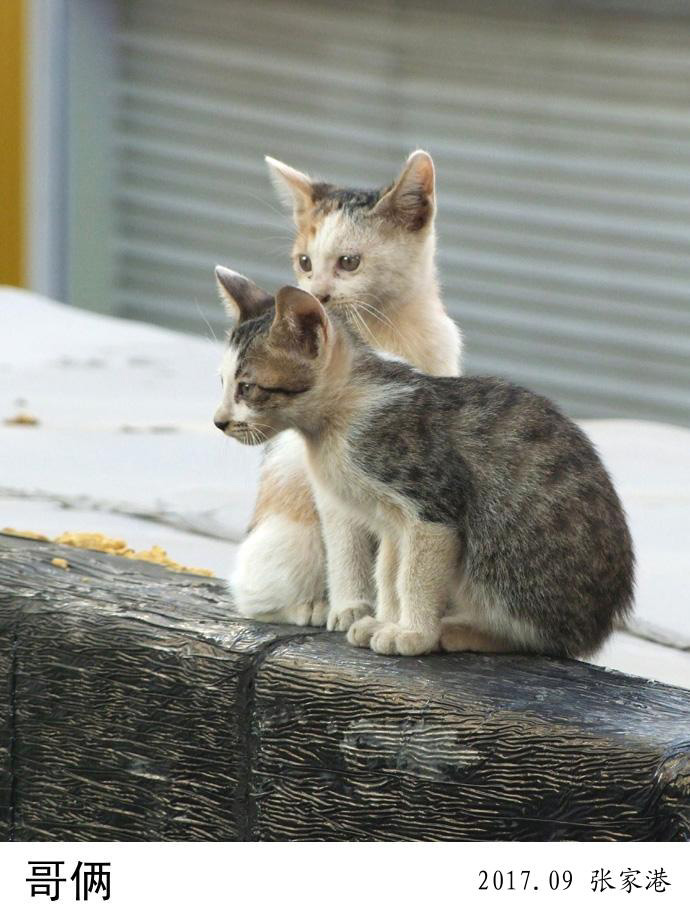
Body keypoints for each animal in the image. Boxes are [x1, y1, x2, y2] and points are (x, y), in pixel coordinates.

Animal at [215, 284, 636, 656]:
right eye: (221, 382)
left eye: (247, 387)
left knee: (541, 641)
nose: (219, 422)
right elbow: (389, 573)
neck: (340, 418)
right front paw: (385, 620)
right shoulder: (391, 521)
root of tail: (597, 628)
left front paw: (412, 634)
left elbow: (413, 577)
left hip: (503, 558)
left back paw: (460, 631)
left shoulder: (432, 506)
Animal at [231, 151, 462, 628]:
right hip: (281, 537)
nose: (317, 294)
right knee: (255, 598)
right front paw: (350, 607)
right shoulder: (326, 474)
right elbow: (345, 538)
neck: (380, 334)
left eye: (350, 262)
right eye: (304, 262)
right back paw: (313, 605)